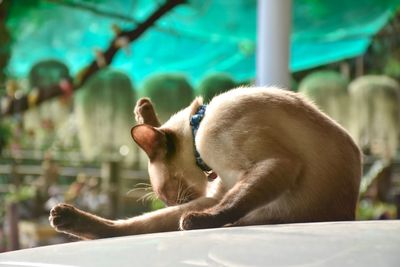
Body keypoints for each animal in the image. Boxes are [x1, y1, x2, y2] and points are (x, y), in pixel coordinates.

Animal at [48, 87, 360, 241]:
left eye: (167, 191)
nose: (171, 203)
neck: (199, 129)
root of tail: (351, 214)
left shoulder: (276, 164)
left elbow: (231, 205)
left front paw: (200, 222)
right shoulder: (222, 189)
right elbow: (231, 201)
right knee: (130, 226)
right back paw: (65, 218)